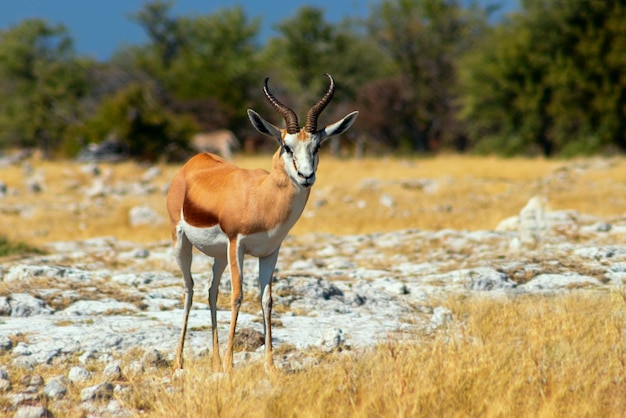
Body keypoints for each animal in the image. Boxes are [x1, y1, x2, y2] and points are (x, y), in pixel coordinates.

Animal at [166, 74, 358, 372]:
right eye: (286, 146)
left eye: (317, 146)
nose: (306, 176)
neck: (262, 198)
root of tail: (194, 162)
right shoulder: (238, 245)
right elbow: (237, 295)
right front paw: (231, 365)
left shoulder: (270, 251)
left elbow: (266, 299)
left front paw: (270, 365)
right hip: (182, 242)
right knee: (189, 289)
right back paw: (180, 361)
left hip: (220, 255)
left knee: (211, 291)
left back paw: (215, 361)